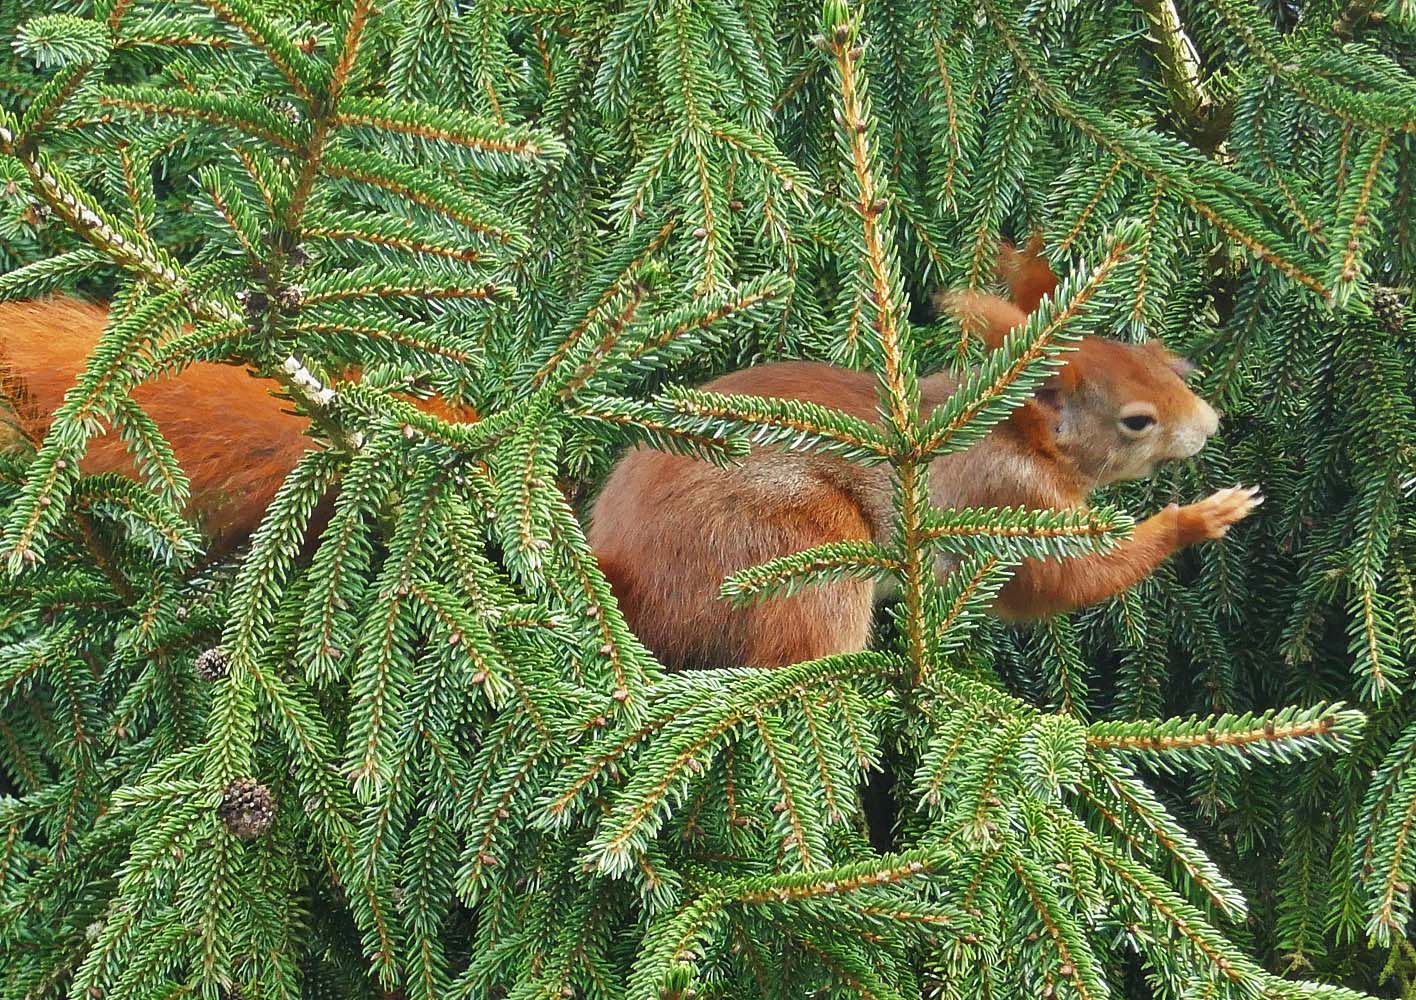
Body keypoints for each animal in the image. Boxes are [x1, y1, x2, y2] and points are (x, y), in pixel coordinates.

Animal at [0, 239, 1263, 668]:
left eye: (1168, 357)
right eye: (1134, 419)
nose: (1209, 424)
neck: (982, 421)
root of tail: (620, 583)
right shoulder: (1002, 502)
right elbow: (1065, 581)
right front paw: (1199, 518)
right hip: (806, 559)